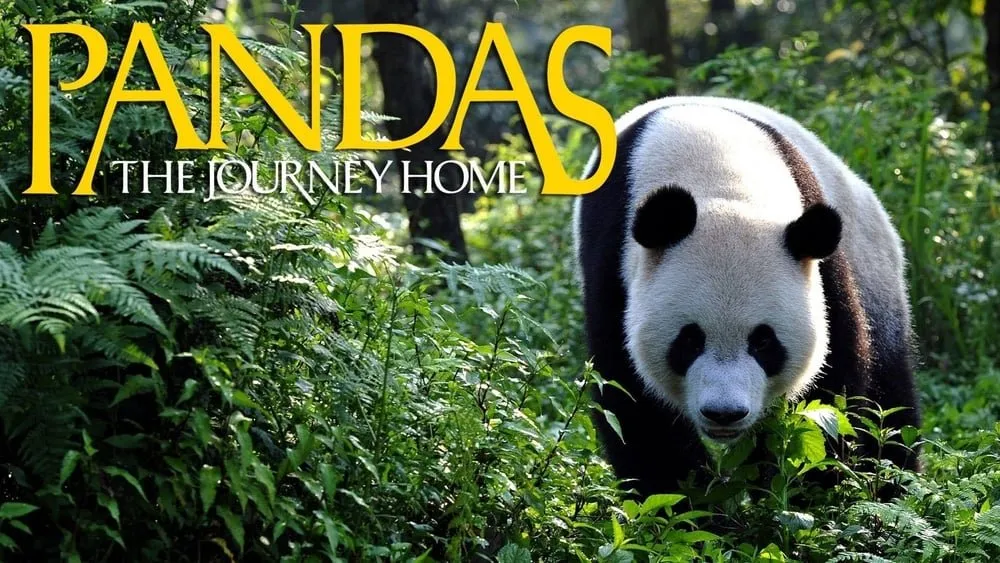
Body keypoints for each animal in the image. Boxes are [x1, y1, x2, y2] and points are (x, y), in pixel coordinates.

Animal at [573, 96, 921, 497]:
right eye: (689, 341)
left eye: (764, 342)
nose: (724, 413)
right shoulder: (613, 266)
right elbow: (634, 404)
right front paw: (691, 500)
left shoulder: (822, 265)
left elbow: (832, 388)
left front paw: (803, 492)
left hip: (873, 268)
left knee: (890, 400)